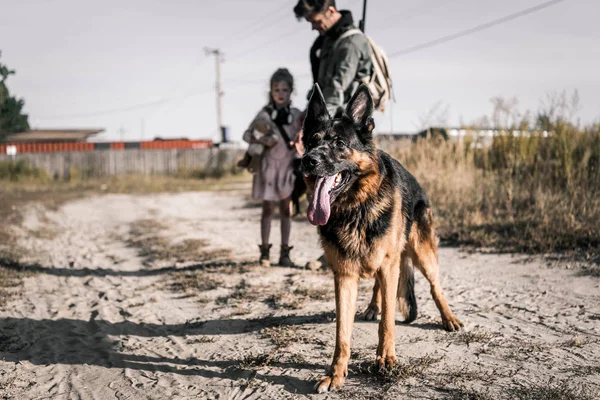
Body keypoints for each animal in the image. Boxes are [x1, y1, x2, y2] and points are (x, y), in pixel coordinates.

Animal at [300, 83, 464, 392]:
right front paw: (336, 373)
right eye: (311, 141)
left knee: (435, 286)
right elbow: (342, 333)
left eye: (339, 143)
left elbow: (388, 321)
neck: (356, 207)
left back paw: (448, 318)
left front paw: (386, 359)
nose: (308, 160)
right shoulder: (344, 275)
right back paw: (371, 307)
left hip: (422, 253)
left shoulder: (389, 266)